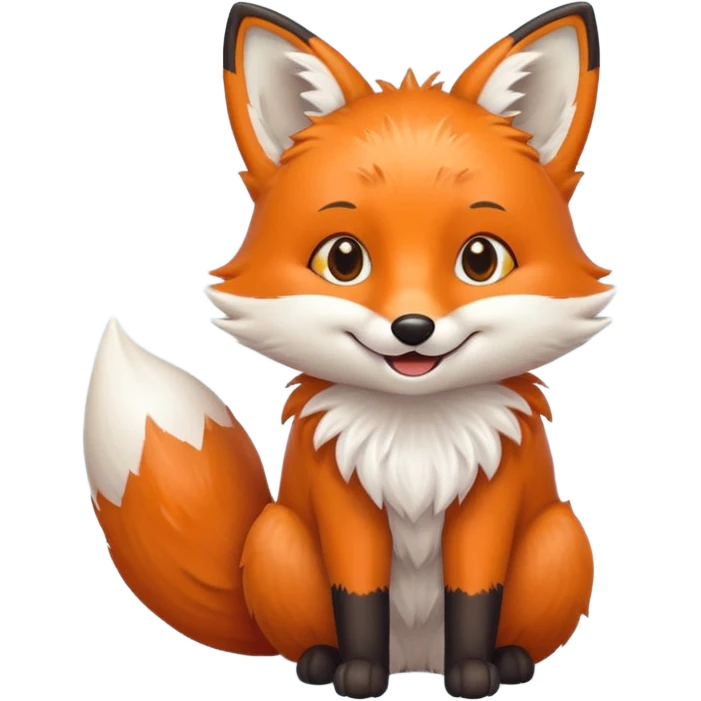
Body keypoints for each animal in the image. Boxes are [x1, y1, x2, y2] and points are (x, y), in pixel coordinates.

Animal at [82, 1, 611, 699]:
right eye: (343, 259)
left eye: (480, 259)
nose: (412, 328)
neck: (416, 436)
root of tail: (417, 660)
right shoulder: (344, 502)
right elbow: (358, 596)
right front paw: (358, 674)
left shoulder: (488, 501)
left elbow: (474, 596)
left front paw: (474, 673)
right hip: (277, 538)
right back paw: (319, 661)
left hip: (562, 537)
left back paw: (511, 660)